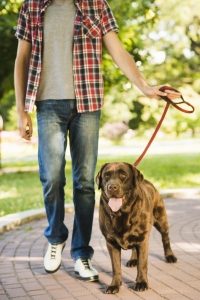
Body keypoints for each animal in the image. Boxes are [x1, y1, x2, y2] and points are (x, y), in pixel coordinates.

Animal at [96, 163, 177, 294]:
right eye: (106, 175)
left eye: (123, 175)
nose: (112, 187)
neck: (122, 213)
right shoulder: (111, 243)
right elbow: (115, 266)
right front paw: (114, 285)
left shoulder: (143, 239)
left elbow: (142, 264)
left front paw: (141, 283)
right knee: (134, 247)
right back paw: (133, 259)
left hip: (161, 219)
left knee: (165, 238)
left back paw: (170, 256)